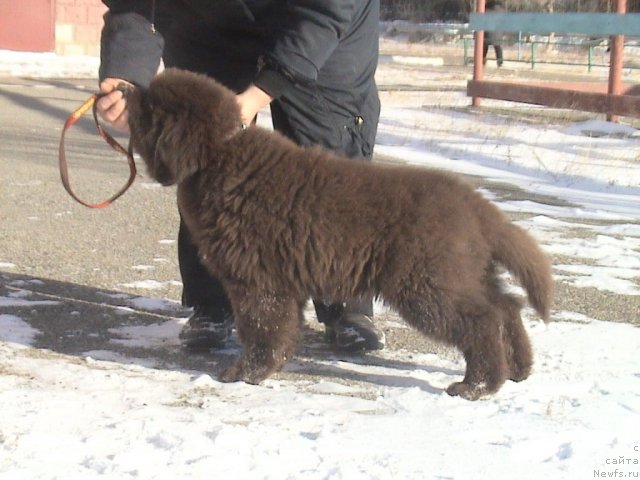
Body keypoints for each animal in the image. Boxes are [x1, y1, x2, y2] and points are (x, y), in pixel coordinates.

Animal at [127, 66, 552, 398]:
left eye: (149, 109)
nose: (125, 90)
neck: (221, 157)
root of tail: (478, 206)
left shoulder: (258, 280)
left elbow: (261, 328)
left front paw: (246, 373)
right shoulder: (279, 281)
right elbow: (279, 329)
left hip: (428, 283)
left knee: (483, 320)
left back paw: (477, 386)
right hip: (465, 272)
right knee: (507, 307)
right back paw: (519, 369)